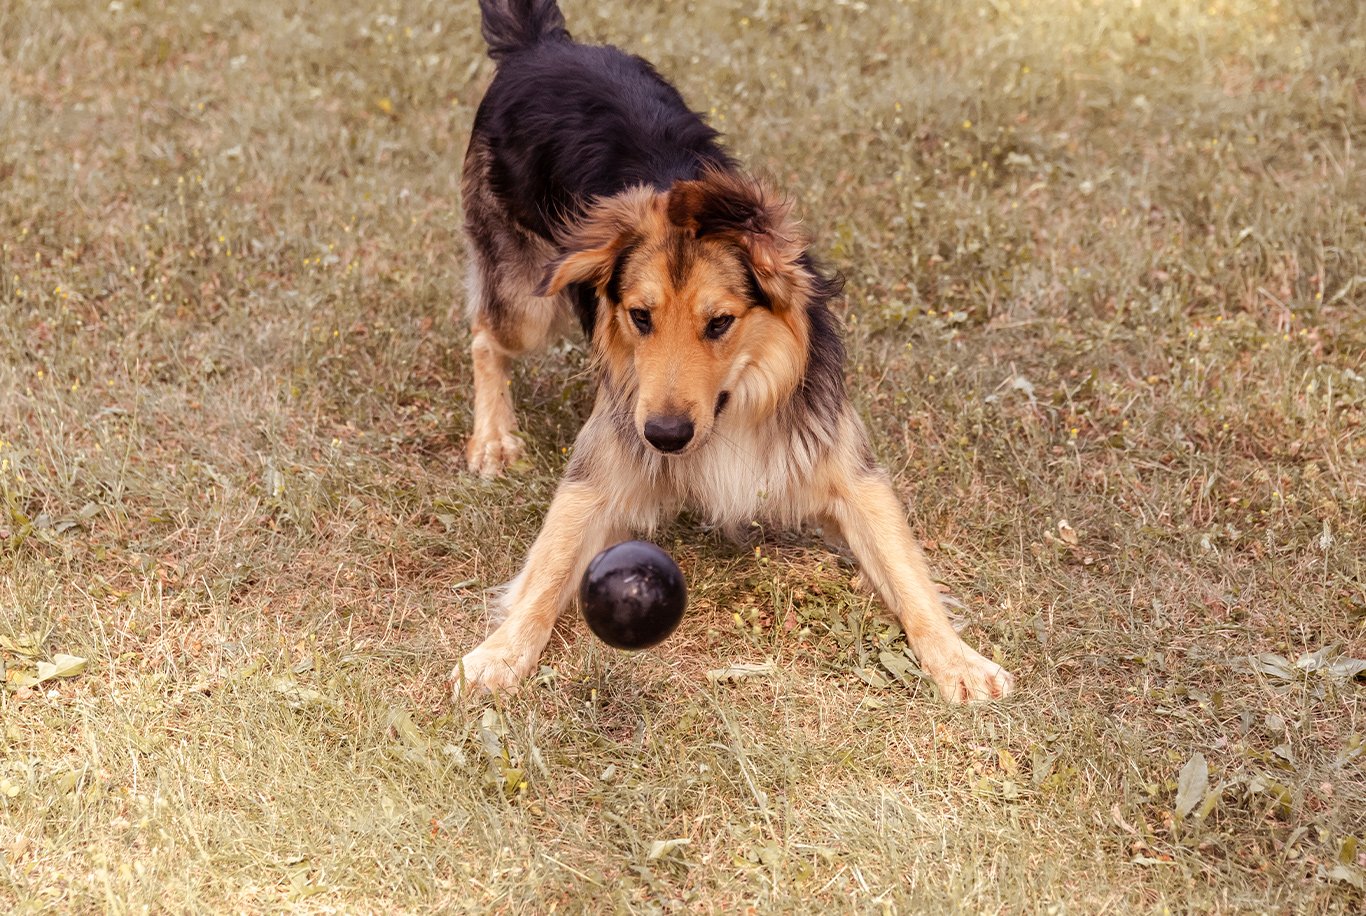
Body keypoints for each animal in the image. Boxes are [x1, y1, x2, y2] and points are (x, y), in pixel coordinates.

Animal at [453, 0, 1010, 704]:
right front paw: (501, 652)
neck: (737, 402)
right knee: (484, 337)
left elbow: (908, 576)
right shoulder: (600, 470)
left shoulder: (847, 471)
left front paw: (957, 658)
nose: (665, 436)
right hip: (526, 301)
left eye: (720, 323)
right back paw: (493, 438)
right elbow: (550, 568)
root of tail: (540, 45)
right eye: (640, 317)